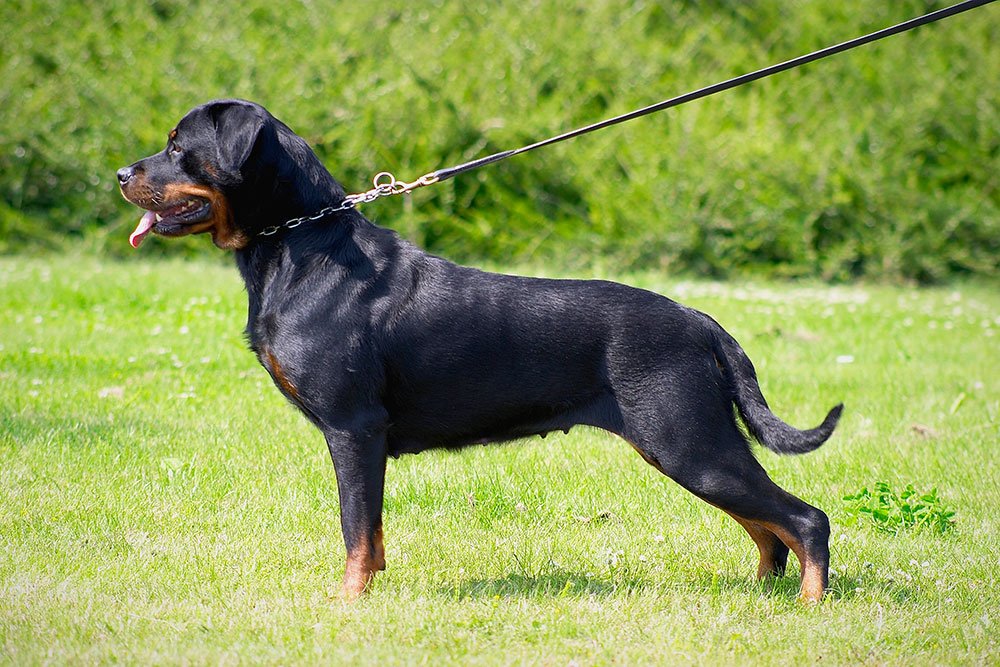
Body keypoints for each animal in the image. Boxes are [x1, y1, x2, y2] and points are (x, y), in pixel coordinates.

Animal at [119, 100, 844, 604]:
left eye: (179, 146)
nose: (122, 173)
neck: (300, 246)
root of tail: (698, 319)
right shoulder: (361, 436)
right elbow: (372, 531)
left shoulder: (354, 427)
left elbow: (355, 527)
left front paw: (346, 601)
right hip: (691, 443)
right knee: (766, 525)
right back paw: (760, 593)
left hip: (685, 438)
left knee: (803, 518)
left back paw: (809, 604)